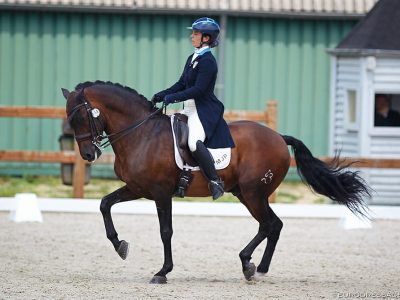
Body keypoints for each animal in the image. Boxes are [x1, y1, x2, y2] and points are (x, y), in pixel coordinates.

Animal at [61, 80, 370, 284]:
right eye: (69, 118)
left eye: (81, 116)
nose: (88, 155)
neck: (141, 133)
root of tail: (279, 138)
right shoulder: (137, 188)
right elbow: (104, 204)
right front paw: (120, 246)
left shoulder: (161, 193)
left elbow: (165, 231)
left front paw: (162, 272)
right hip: (247, 194)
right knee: (274, 225)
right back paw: (259, 268)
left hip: (253, 193)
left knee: (268, 224)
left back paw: (248, 264)